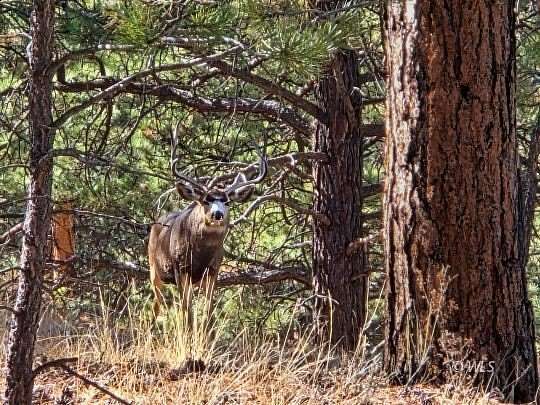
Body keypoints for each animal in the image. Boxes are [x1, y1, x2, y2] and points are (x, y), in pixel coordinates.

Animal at [148, 132, 267, 330]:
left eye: (227, 202)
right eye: (205, 200)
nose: (217, 214)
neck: (200, 257)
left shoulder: (213, 270)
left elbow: (208, 313)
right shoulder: (181, 269)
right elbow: (187, 312)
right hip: (154, 270)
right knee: (157, 307)